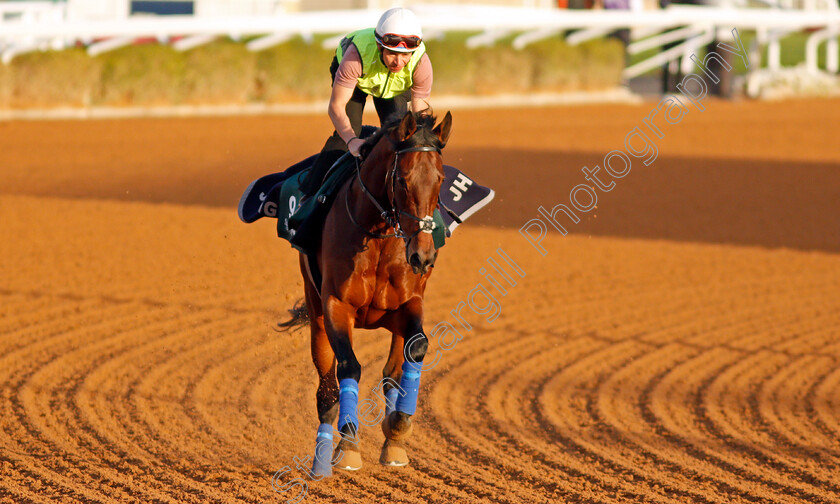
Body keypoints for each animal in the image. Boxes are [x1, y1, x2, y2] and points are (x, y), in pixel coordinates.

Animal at [302, 110, 452, 476]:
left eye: (440, 179)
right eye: (402, 179)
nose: (423, 256)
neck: (379, 237)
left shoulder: (409, 304)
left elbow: (416, 350)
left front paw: (398, 428)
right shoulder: (336, 305)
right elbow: (349, 368)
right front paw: (349, 447)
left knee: (392, 373)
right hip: (315, 312)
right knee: (326, 389)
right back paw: (321, 461)